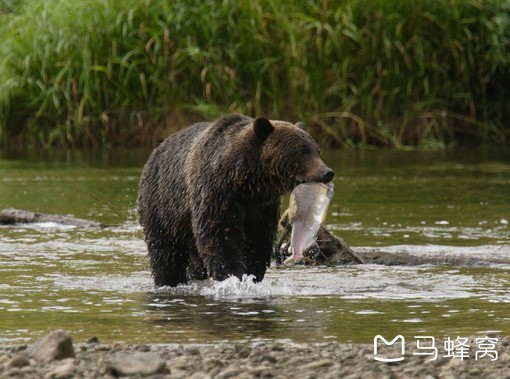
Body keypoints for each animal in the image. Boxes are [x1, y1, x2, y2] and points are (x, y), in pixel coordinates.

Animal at [137, 114, 332, 286]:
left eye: (317, 151)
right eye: (302, 152)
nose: (327, 172)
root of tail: (156, 150)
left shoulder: (261, 209)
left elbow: (257, 241)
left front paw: (252, 274)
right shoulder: (217, 195)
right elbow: (221, 239)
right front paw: (231, 275)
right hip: (163, 207)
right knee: (165, 252)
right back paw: (168, 279)